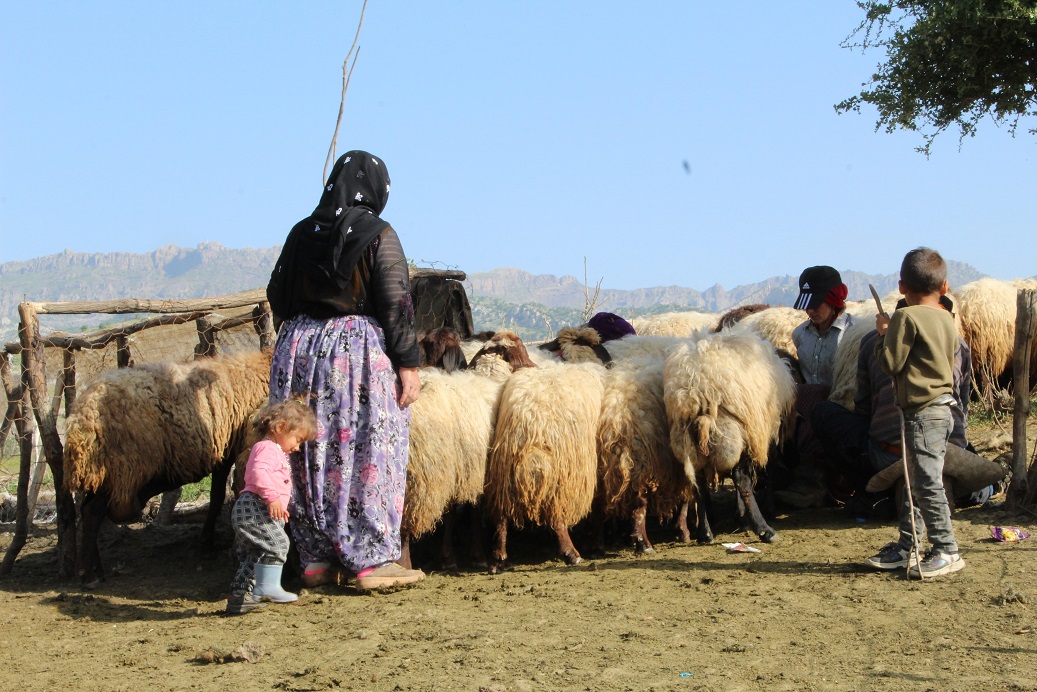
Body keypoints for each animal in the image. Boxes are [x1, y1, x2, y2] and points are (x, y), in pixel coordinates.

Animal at [64, 352, 271, 585]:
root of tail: (81, 418)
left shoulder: (224, 450)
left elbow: (216, 496)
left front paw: (205, 540)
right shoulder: (227, 450)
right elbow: (217, 496)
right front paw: (206, 542)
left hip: (103, 474)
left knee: (86, 509)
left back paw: (89, 566)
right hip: (119, 468)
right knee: (93, 511)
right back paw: (90, 574)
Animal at [485, 361, 605, 572]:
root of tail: (531, 424)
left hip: (504, 474)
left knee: (501, 516)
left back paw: (497, 558)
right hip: (560, 476)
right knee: (557, 517)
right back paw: (571, 554)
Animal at [663, 331, 792, 543]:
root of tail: (698, 395)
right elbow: (760, 474)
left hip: (689, 447)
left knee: (700, 485)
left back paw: (706, 533)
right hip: (737, 436)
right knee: (742, 480)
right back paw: (764, 529)